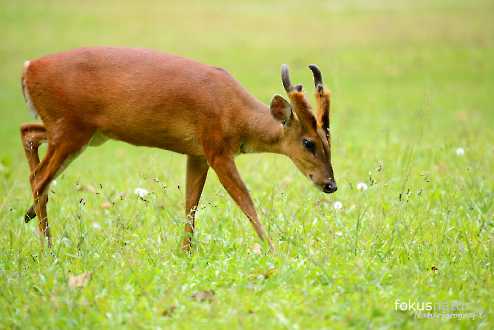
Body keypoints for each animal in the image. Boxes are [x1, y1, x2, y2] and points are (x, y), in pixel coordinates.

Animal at [19, 47, 336, 251]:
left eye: (329, 142)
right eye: (308, 143)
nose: (330, 184)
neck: (234, 113)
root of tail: (28, 68)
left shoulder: (197, 153)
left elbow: (191, 204)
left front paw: (185, 251)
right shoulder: (216, 148)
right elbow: (246, 200)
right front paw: (273, 249)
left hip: (78, 131)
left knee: (28, 134)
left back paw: (30, 217)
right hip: (71, 129)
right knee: (38, 178)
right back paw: (47, 248)